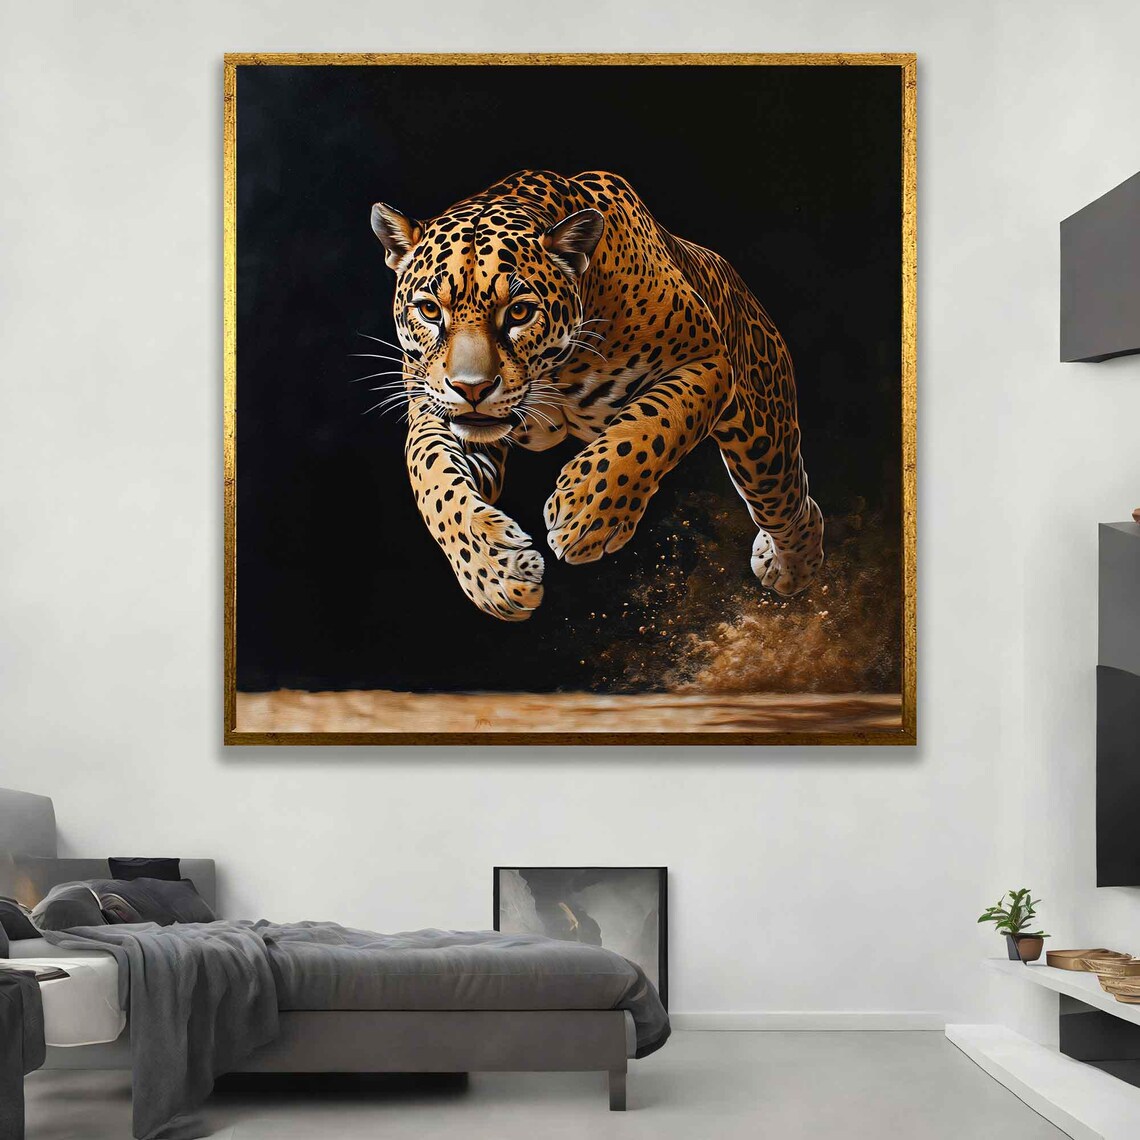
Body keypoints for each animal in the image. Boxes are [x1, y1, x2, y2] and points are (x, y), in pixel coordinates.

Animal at [368, 169, 824, 622]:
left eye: (518, 312)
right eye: (429, 310)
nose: (471, 388)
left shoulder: (706, 360)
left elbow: (648, 426)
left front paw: (586, 514)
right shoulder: (436, 416)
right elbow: (435, 482)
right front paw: (495, 573)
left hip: (762, 435)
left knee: (783, 499)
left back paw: (793, 566)